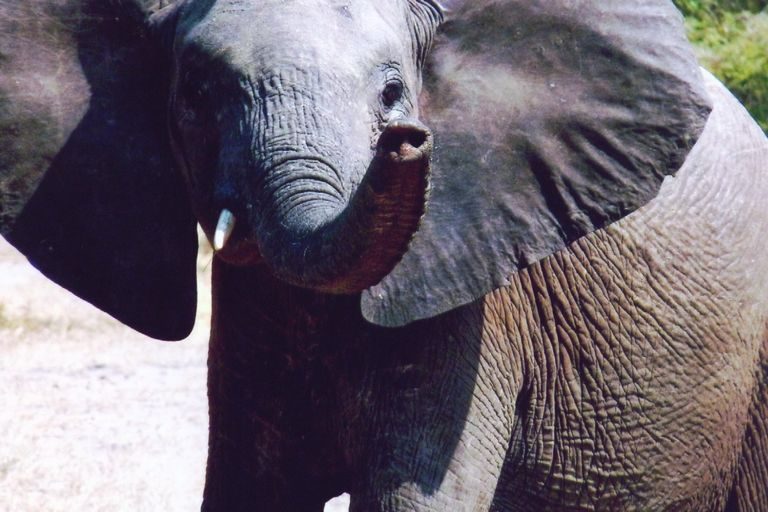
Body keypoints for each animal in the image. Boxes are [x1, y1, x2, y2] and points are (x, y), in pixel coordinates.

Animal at [1, 0, 767, 510]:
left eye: (394, 93)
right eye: (195, 95)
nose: (407, 139)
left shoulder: (478, 305)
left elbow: (412, 494)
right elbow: (252, 485)